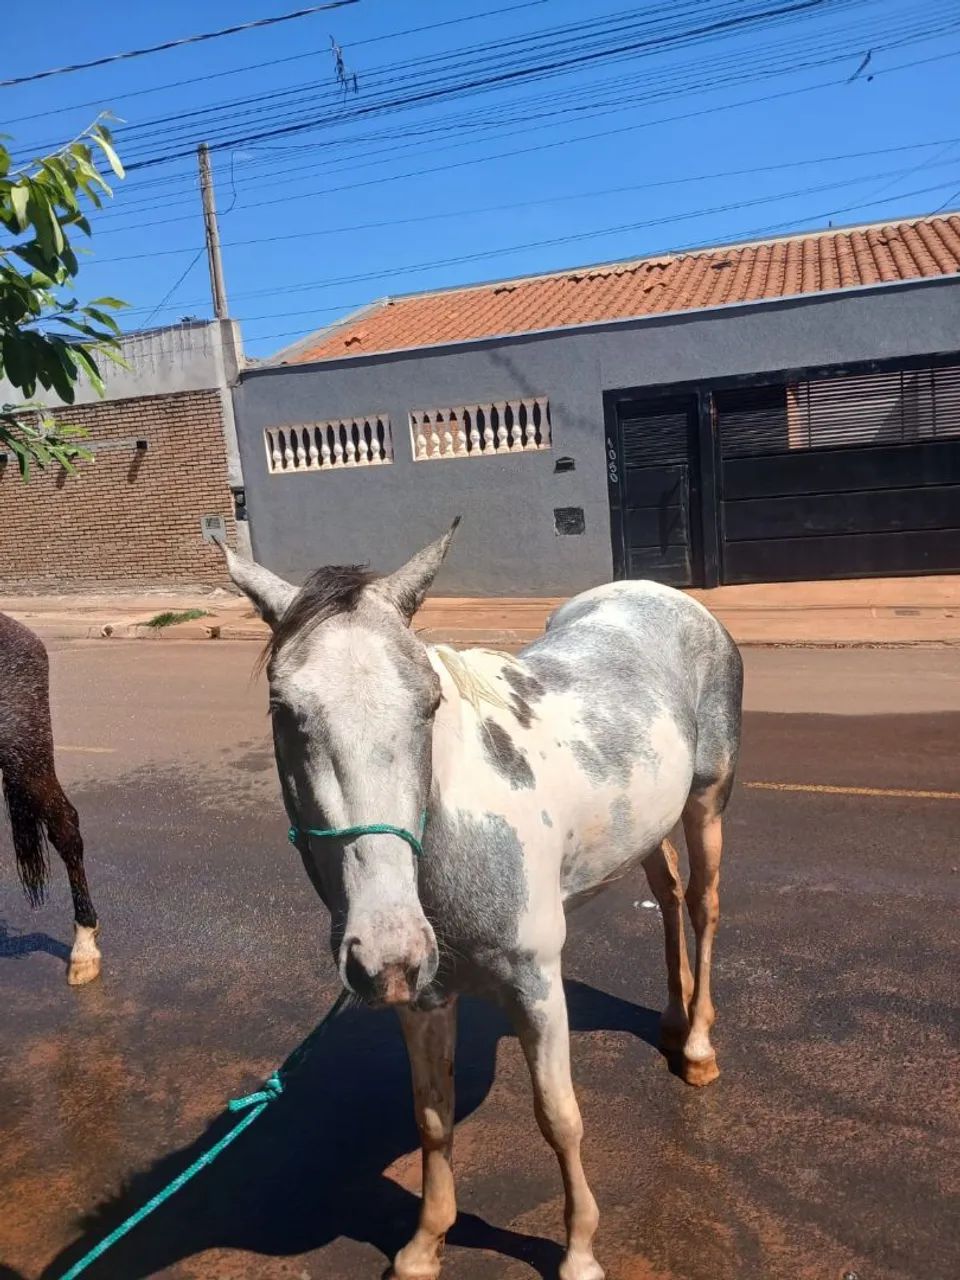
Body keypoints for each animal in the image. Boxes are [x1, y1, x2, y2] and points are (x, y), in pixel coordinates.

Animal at [220, 520, 742, 1280]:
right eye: (284, 710)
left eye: (428, 703)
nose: (388, 948)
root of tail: (665, 595)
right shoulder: (425, 998)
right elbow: (432, 1118)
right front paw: (424, 1246)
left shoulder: (537, 985)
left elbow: (559, 1116)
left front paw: (579, 1253)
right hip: (647, 824)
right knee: (669, 895)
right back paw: (673, 1022)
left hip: (706, 800)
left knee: (703, 905)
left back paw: (698, 1048)